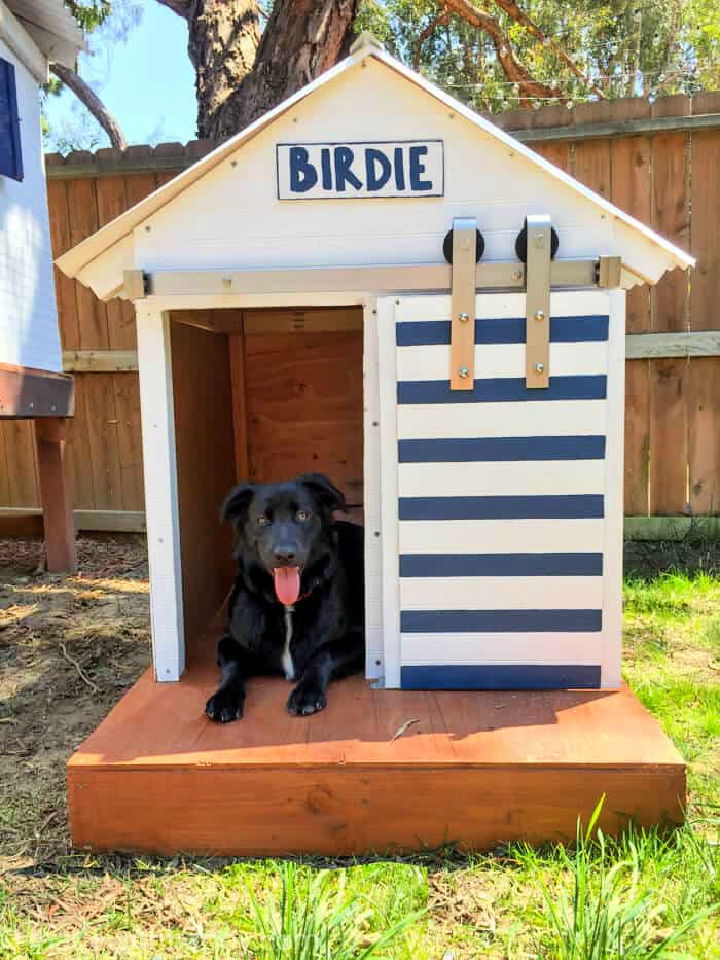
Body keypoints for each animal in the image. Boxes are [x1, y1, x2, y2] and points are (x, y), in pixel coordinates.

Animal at [207, 472, 366, 720]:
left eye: (303, 515)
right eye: (261, 520)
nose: (284, 555)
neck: (286, 606)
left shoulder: (361, 638)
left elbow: (323, 652)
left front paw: (306, 693)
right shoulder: (228, 640)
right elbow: (232, 664)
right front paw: (225, 697)